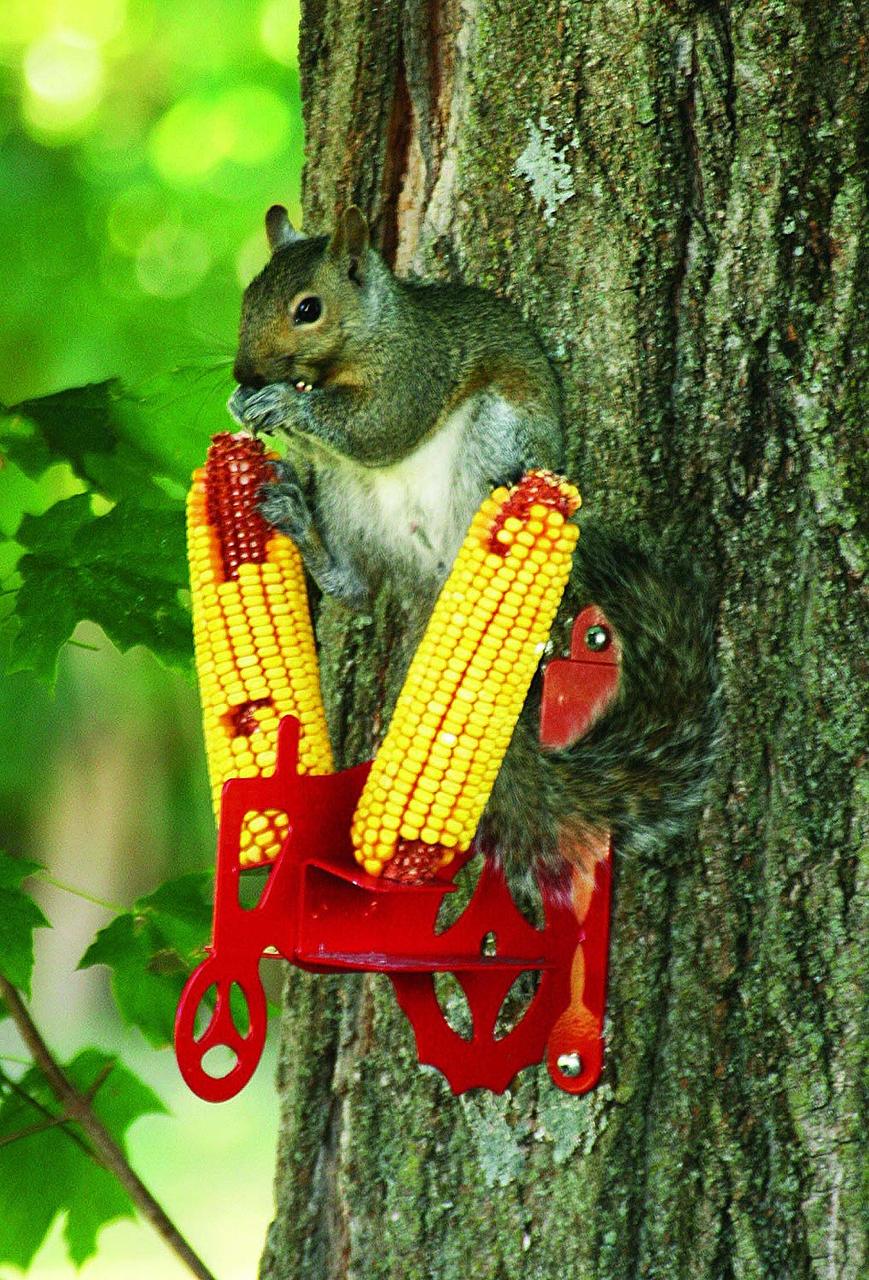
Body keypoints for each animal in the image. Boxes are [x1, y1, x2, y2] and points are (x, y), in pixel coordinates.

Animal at [227, 207, 716, 890]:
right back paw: (300, 520)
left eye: (307, 309)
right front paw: (246, 404)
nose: (243, 373)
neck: (370, 336)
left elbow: (376, 429)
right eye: (248, 298)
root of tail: (433, 580)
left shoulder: (414, 374)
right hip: (346, 497)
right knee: (356, 587)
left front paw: (282, 402)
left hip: (492, 432)